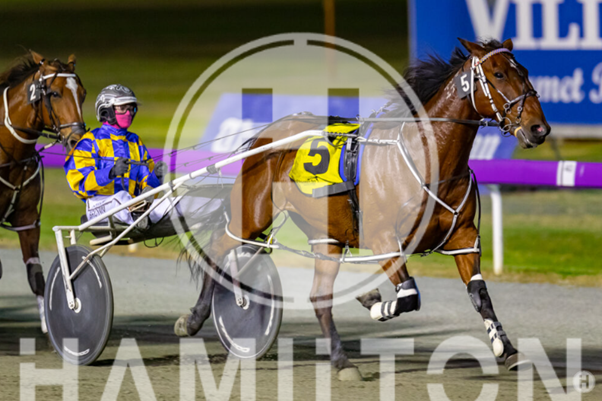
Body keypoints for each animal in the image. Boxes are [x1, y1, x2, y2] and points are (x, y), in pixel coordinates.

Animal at [176, 38, 550, 377]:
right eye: (498, 73)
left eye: (525, 72)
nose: (539, 128)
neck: (430, 161)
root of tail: (268, 133)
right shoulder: (386, 241)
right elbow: (409, 296)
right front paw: (377, 307)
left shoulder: (464, 237)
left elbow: (479, 293)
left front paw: (508, 350)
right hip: (252, 215)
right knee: (218, 250)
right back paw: (193, 319)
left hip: (325, 235)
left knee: (318, 297)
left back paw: (342, 361)